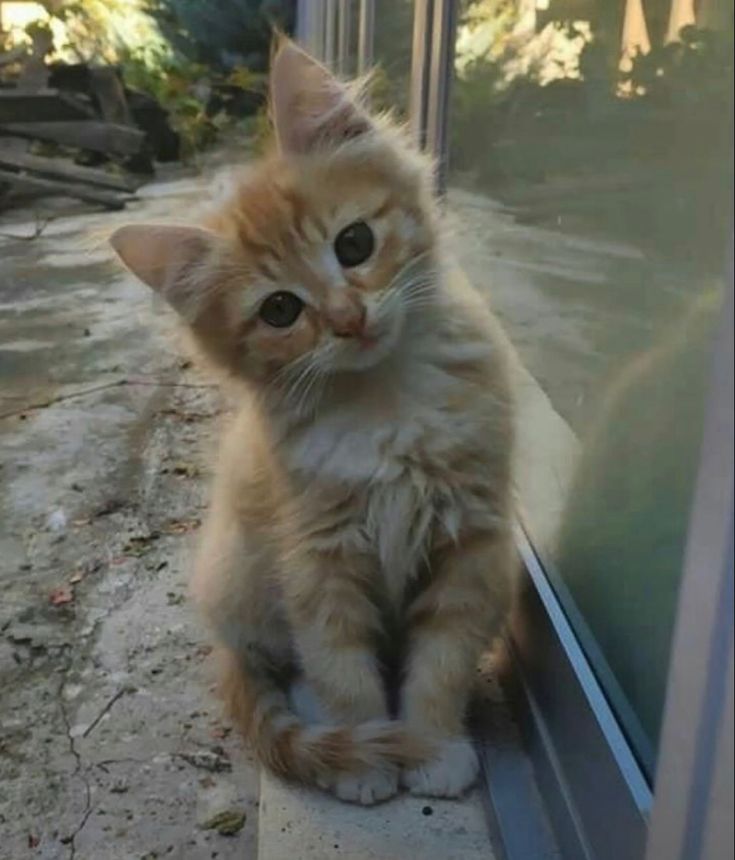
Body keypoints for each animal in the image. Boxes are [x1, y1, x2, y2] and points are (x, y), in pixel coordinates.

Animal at [112, 40, 516, 808]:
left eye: (354, 243)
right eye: (279, 311)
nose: (347, 319)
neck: (384, 402)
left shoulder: (472, 539)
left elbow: (443, 657)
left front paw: (432, 743)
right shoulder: (315, 554)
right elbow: (339, 665)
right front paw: (366, 755)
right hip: (242, 577)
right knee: (282, 663)